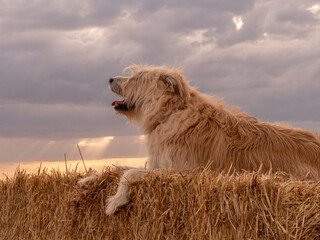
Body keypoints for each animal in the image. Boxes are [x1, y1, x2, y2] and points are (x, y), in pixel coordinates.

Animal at [78, 64, 320, 216]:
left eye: (137, 78)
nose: (109, 78)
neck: (170, 113)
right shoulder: (158, 164)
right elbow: (118, 167)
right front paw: (89, 179)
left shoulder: (182, 172)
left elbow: (129, 174)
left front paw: (115, 201)